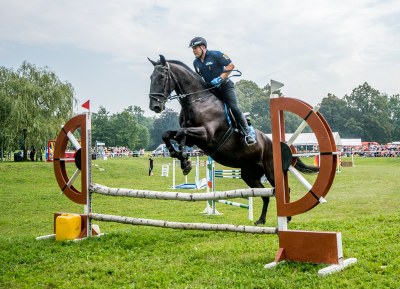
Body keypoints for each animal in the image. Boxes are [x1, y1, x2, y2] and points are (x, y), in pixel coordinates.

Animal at [148, 54, 318, 225]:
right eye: (151, 77)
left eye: (161, 77)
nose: (154, 106)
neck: (198, 100)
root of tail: (276, 143)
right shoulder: (192, 139)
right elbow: (168, 134)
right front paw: (180, 157)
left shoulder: (206, 134)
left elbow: (181, 134)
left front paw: (185, 161)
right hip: (249, 174)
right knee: (265, 194)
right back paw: (261, 220)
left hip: (271, 171)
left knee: (282, 190)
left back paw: (287, 217)